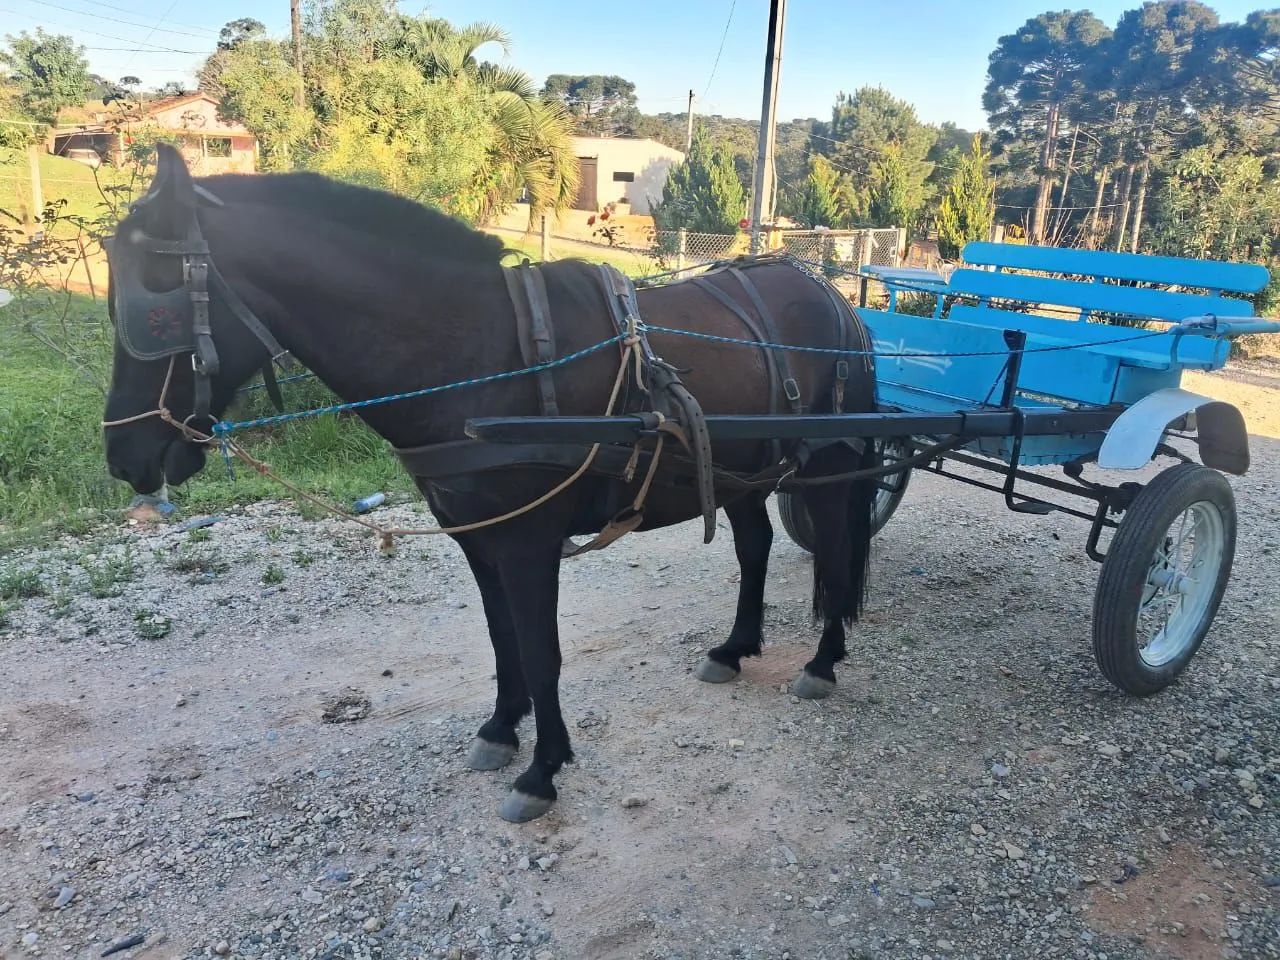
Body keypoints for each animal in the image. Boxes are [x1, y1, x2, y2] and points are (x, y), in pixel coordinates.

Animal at [103, 145, 879, 822]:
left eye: (152, 306)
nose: (122, 454)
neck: (480, 350)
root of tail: (826, 291)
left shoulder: (528, 539)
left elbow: (540, 650)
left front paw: (543, 769)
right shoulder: (477, 536)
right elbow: (503, 637)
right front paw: (502, 729)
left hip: (829, 462)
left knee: (837, 548)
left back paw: (824, 659)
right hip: (742, 468)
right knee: (754, 548)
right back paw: (734, 647)